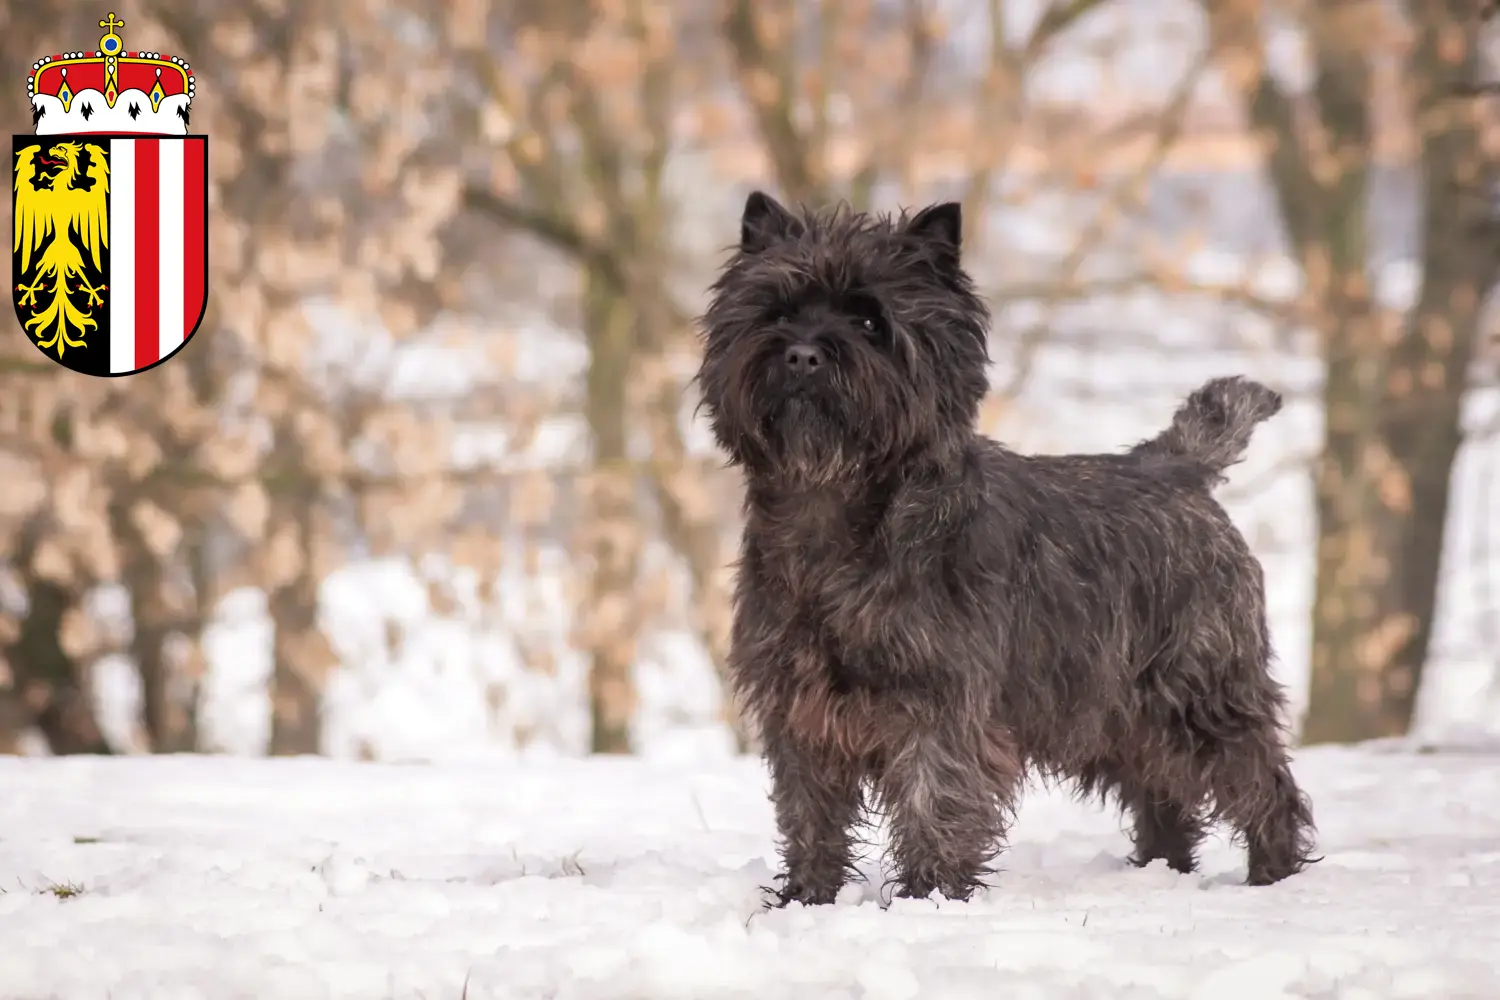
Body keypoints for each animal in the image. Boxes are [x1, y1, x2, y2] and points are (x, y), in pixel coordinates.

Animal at [690, 189, 1314, 905]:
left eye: (870, 321)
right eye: (779, 311)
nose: (800, 354)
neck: (832, 511)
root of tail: (1175, 467)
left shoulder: (942, 704)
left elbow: (936, 799)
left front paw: (929, 895)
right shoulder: (801, 706)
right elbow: (809, 809)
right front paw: (807, 897)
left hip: (1200, 694)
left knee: (1262, 781)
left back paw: (1272, 875)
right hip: (1116, 711)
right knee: (1163, 792)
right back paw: (1160, 871)